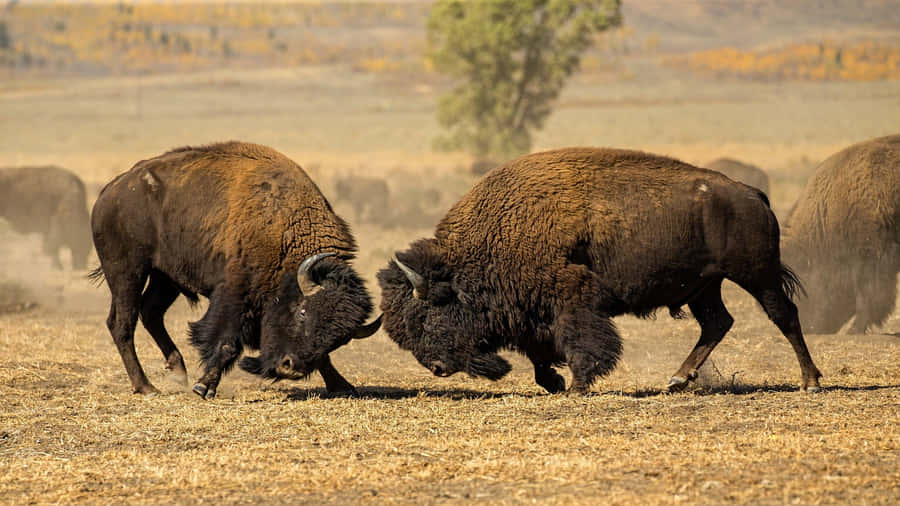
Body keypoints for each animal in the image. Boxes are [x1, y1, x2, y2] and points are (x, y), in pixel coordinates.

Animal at [90, 142, 381, 398]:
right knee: (122, 323)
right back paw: (146, 387)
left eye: (339, 339)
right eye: (302, 312)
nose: (290, 368)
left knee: (151, 313)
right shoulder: (234, 294)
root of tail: (110, 191)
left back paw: (178, 371)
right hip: (128, 272)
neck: (286, 231)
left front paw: (342, 385)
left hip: (165, 278)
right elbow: (227, 342)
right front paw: (204, 387)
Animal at [378, 147, 822, 394]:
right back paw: (678, 380)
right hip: (704, 287)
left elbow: (579, 341)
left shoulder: (571, 299)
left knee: (784, 315)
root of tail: (753, 194)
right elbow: (539, 351)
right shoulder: (531, 311)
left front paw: (576, 386)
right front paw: (555, 383)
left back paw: (810, 381)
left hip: (756, 275)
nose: (437, 369)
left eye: (424, 316)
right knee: (717, 323)